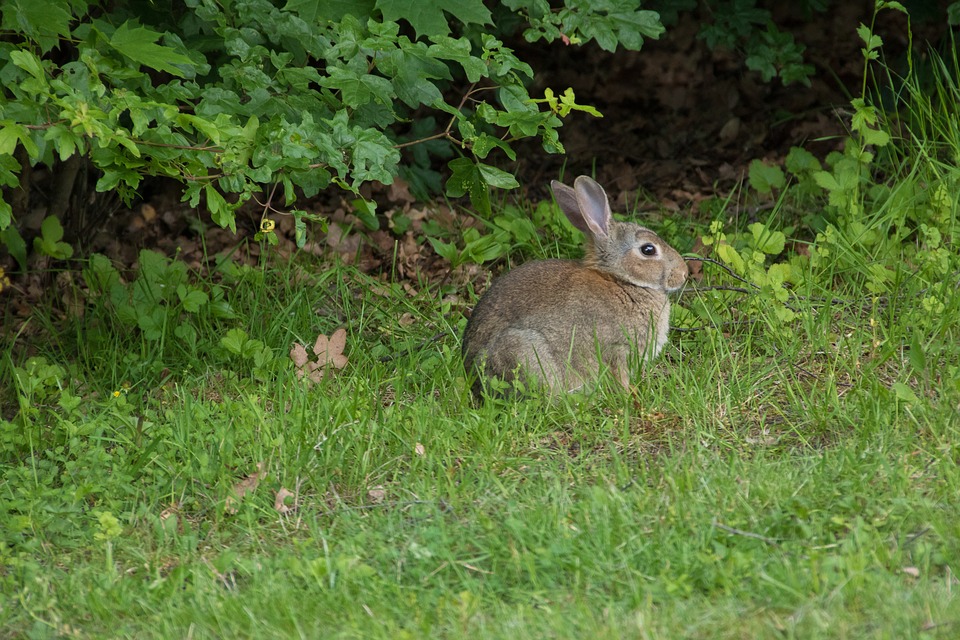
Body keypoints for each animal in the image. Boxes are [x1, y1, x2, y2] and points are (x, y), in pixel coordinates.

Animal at [462, 175, 688, 396]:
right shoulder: (617, 350)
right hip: (523, 352)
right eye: (648, 249)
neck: (622, 281)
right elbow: (620, 376)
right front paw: (629, 395)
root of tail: (472, 371)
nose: (684, 273)